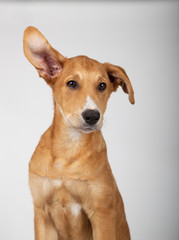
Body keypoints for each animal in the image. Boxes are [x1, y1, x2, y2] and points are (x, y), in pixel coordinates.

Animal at [23, 26, 134, 240]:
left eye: (102, 86)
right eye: (72, 84)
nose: (92, 116)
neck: (69, 149)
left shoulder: (101, 213)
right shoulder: (42, 211)